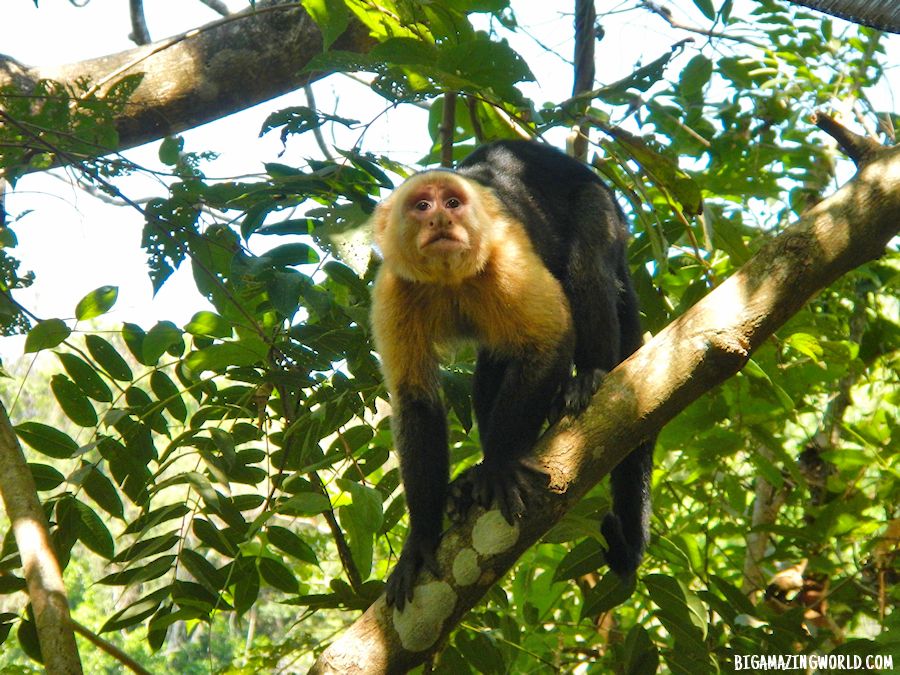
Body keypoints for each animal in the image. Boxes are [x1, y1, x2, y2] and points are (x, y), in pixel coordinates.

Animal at [370, 140, 652, 608]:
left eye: (452, 203)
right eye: (422, 206)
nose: (441, 219)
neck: (451, 278)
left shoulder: (505, 250)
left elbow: (552, 338)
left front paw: (502, 465)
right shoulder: (396, 288)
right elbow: (416, 401)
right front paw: (422, 538)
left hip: (604, 211)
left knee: (588, 257)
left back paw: (591, 374)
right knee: (493, 364)